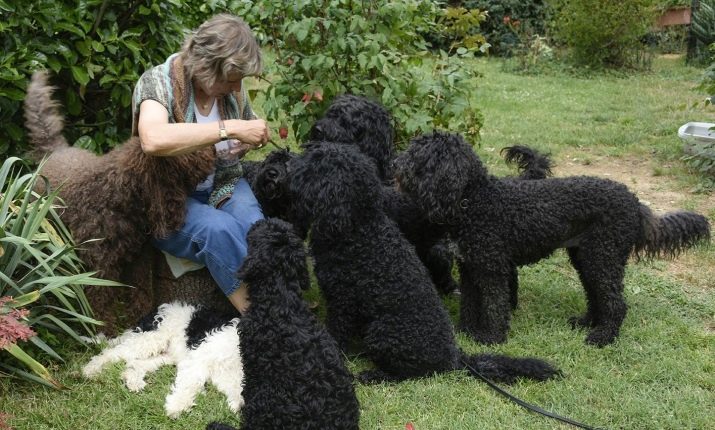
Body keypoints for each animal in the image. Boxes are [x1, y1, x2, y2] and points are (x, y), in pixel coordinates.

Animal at [83, 300, 245, 418]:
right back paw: (90, 370)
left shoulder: (226, 375)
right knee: (111, 353)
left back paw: (133, 381)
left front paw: (237, 405)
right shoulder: (199, 358)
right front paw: (176, 406)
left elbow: (236, 389)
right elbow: (189, 384)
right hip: (150, 340)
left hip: (166, 354)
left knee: (136, 362)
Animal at [286, 142, 560, 386]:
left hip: (382, 331)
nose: (289, 165)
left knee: (410, 373)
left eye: (316, 164)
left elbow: (335, 334)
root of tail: (455, 356)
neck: (357, 227)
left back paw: (374, 375)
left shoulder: (343, 302)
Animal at [394, 131, 712, 346]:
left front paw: (492, 338)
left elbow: (495, 306)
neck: (474, 200)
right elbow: (470, 304)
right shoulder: (471, 268)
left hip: (603, 256)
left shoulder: (492, 269)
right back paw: (586, 323)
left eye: (419, 155)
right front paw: (466, 332)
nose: (395, 162)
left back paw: (602, 337)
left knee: (615, 302)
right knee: (596, 294)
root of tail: (635, 204)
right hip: (587, 257)